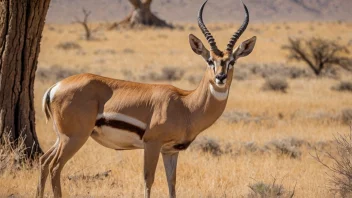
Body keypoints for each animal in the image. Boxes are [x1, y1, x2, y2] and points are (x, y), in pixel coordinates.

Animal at [36, 0, 256, 197]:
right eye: (210, 60)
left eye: (232, 61)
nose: (220, 77)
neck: (186, 105)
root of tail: (55, 87)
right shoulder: (152, 144)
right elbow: (148, 179)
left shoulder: (171, 150)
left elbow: (171, 183)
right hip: (74, 138)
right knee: (55, 167)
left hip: (62, 138)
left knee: (43, 161)